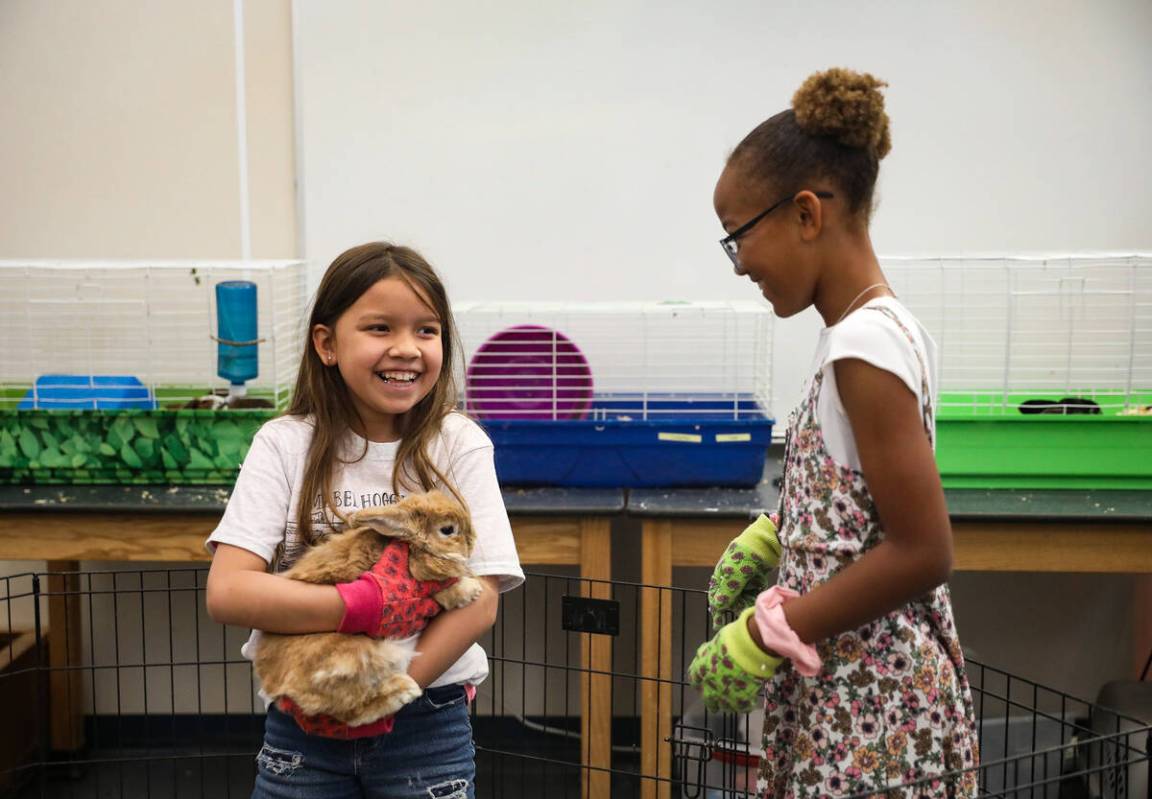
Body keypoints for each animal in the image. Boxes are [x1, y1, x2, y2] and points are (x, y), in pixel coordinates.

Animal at [254, 490, 483, 727]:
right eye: (448, 530)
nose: (471, 541)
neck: (409, 544)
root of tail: (274, 683)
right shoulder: (419, 577)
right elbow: (441, 589)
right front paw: (471, 589)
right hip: (355, 657)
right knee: (351, 711)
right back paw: (404, 691)